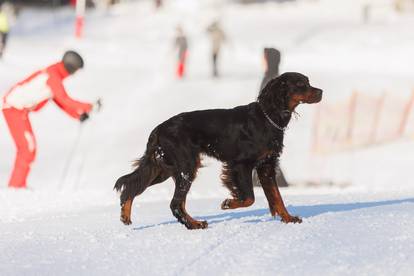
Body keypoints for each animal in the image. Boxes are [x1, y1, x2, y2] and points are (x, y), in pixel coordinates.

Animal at [115, 71, 322, 229]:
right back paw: (194, 224)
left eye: (308, 82)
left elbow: (277, 197)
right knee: (175, 203)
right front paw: (229, 203)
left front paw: (288, 218)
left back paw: (126, 215)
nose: (321, 91)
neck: (268, 117)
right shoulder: (241, 164)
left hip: (163, 168)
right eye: (301, 84)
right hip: (185, 166)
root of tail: (159, 129)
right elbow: (249, 197)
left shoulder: (267, 166)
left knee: (132, 186)